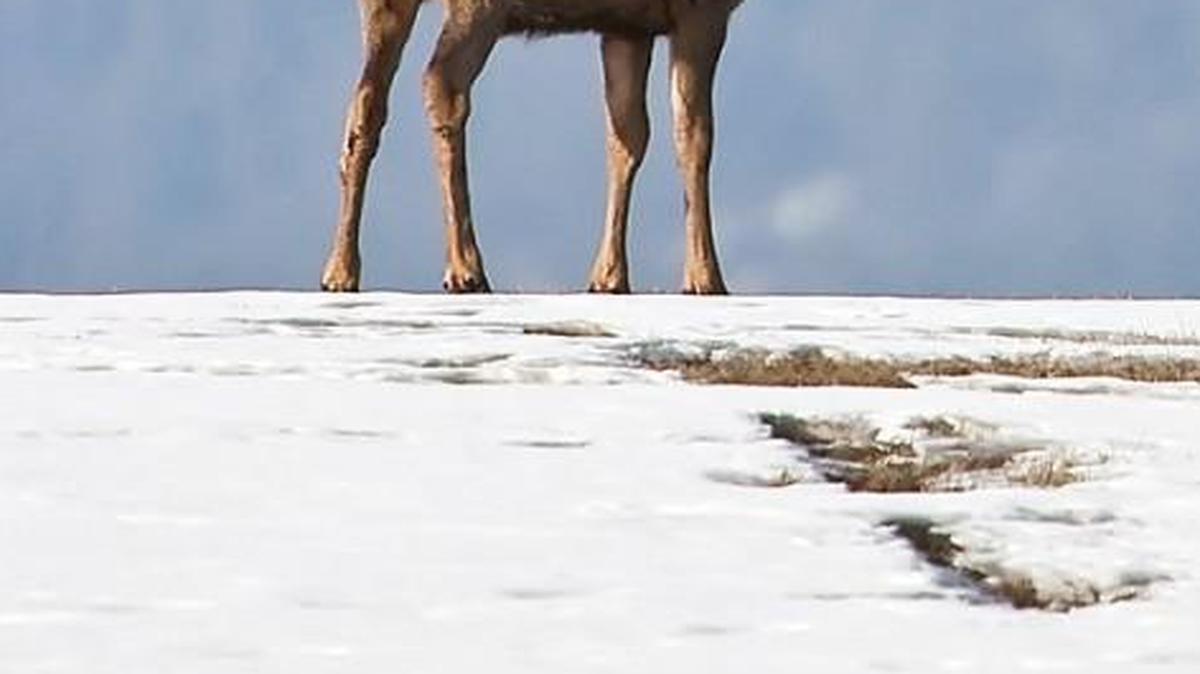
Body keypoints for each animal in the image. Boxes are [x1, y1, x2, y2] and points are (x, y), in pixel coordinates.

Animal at [320, 0, 744, 295]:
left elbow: (626, 139)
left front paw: (608, 277)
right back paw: (466, 269)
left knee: (366, 105)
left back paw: (340, 271)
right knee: (441, 83)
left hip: (383, 7)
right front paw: (705, 278)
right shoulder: (700, 12)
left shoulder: (627, 26)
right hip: (477, 7)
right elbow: (694, 135)